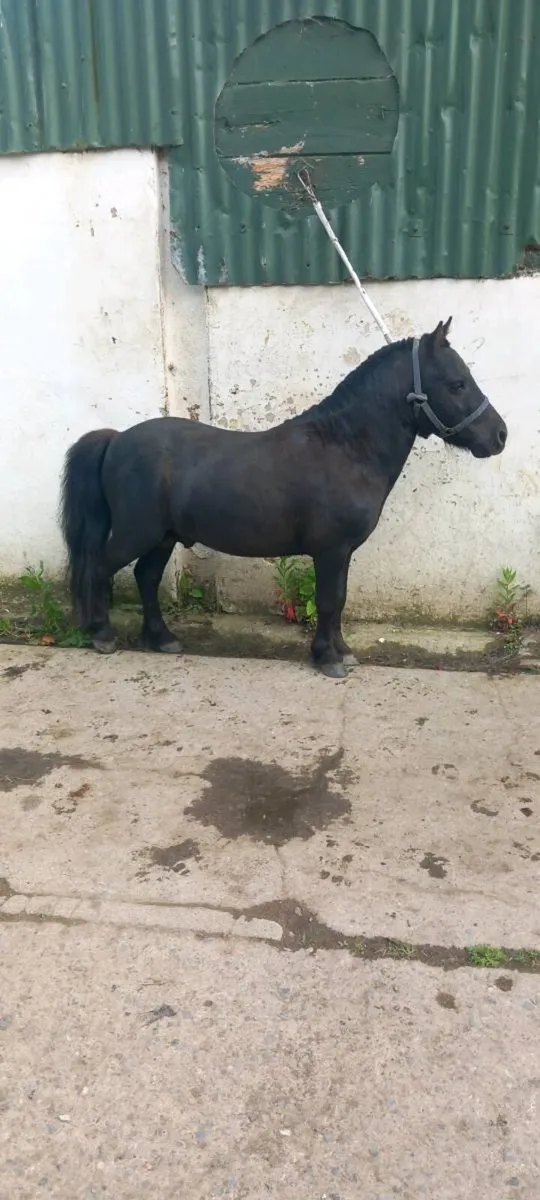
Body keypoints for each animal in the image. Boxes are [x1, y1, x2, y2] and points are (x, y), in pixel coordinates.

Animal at [60, 319, 507, 678]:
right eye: (457, 384)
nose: (499, 435)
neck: (345, 446)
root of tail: (117, 439)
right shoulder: (331, 550)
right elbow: (329, 601)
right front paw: (328, 659)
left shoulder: (342, 553)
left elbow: (339, 600)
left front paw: (341, 651)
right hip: (138, 533)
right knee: (100, 568)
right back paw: (102, 634)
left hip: (163, 537)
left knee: (146, 578)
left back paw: (161, 638)